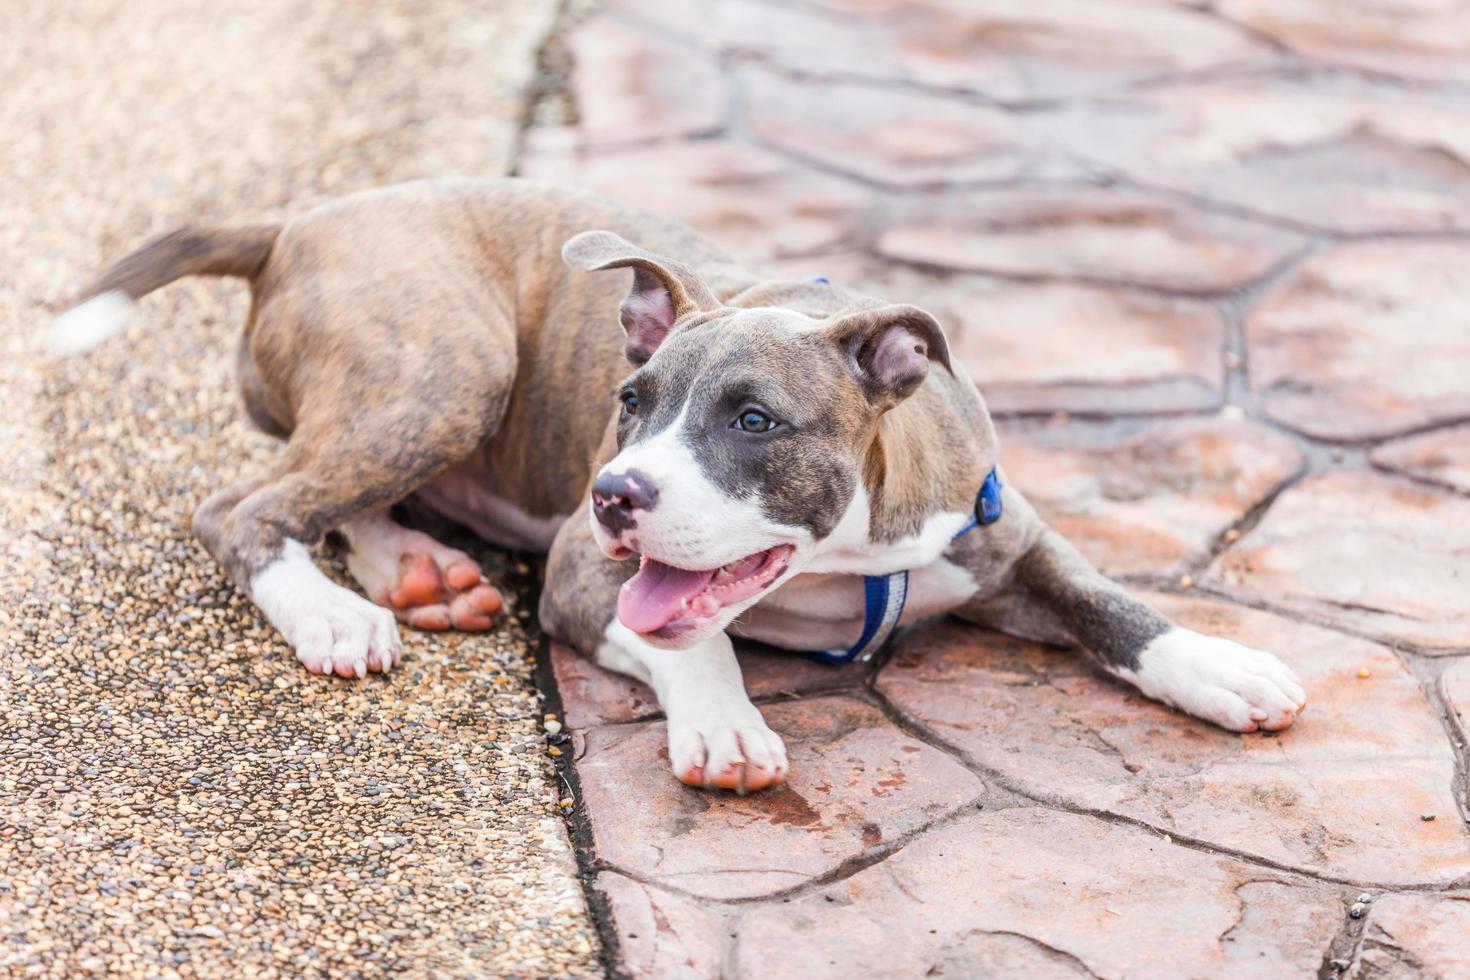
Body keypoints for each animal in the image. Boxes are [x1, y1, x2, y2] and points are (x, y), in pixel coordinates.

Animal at [54, 178, 1311, 787]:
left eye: (754, 421)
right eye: (631, 400)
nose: (616, 493)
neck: (852, 547)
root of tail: (296, 220)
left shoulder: (1004, 530)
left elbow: (1111, 601)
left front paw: (1220, 663)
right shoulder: (578, 571)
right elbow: (692, 637)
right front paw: (724, 725)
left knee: (338, 490)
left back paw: (416, 568)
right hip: (450, 361)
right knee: (246, 506)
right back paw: (335, 614)